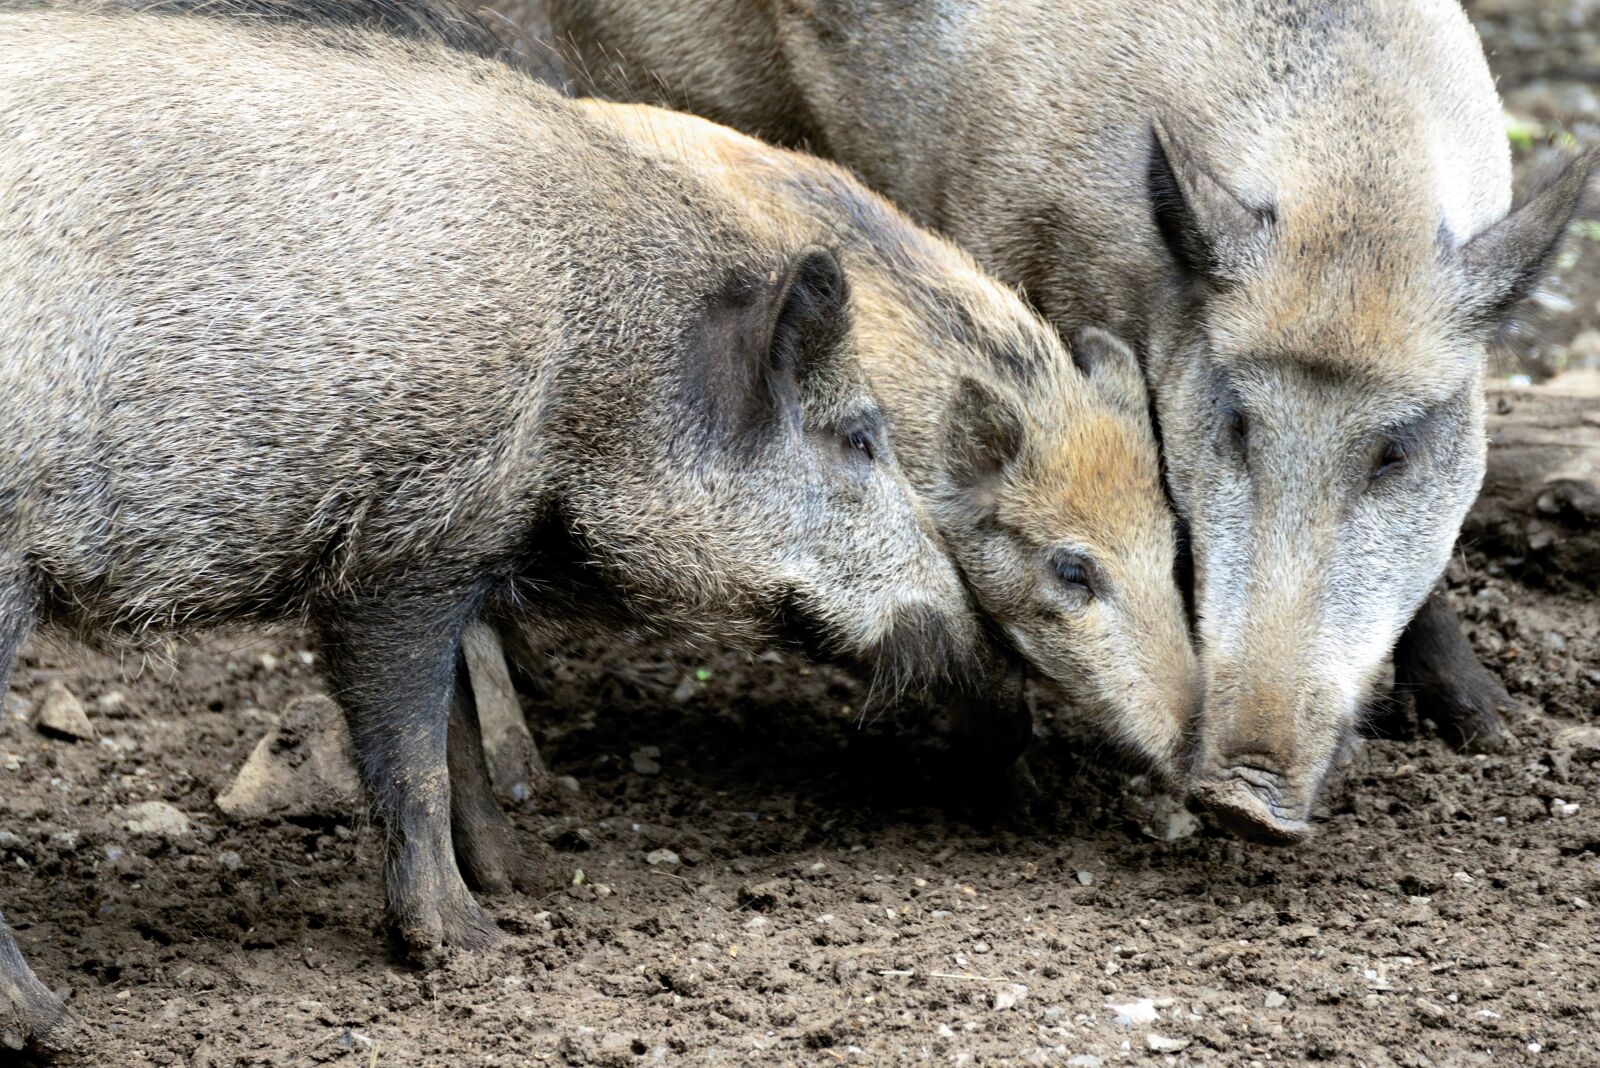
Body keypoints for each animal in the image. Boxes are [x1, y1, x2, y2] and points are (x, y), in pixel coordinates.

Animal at [0, 3, 1003, 1046]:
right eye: (860, 438)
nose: (972, 632)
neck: (596, 362)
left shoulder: (461, 547)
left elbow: (463, 743)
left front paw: (530, 884)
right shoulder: (401, 550)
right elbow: (417, 761)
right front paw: (471, 949)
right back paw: (54, 1024)